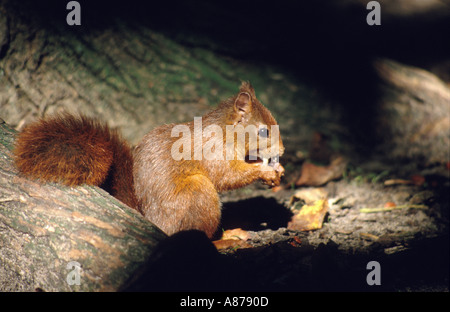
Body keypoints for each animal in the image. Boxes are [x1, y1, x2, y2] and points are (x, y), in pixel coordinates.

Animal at [14, 81, 284, 238]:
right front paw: (264, 171)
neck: (226, 132)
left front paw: (277, 170)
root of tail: (155, 224)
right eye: (263, 131)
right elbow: (228, 176)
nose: (282, 150)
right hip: (199, 193)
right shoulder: (213, 151)